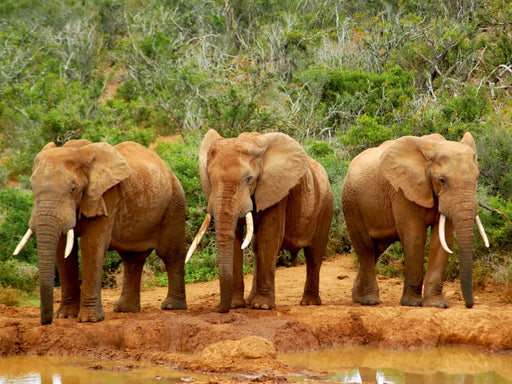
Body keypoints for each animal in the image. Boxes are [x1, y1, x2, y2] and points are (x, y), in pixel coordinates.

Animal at [13, 139, 187, 324]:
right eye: (32, 189)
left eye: (73, 189)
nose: (46, 322)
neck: (77, 151)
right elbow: (63, 251)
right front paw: (65, 316)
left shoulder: (106, 195)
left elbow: (91, 245)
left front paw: (89, 320)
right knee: (132, 258)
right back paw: (125, 310)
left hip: (175, 202)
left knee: (170, 253)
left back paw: (171, 306)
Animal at [186, 129, 334, 312]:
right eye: (210, 179)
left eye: (249, 179)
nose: (220, 309)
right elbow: (237, 240)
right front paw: (236, 305)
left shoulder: (276, 190)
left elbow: (269, 236)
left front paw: (262, 306)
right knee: (257, 249)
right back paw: (251, 301)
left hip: (325, 205)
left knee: (314, 253)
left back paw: (308, 303)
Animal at [342, 133, 490, 308]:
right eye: (442, 180)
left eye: (477, 178)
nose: (469, 305)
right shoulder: (402, 191)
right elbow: (415, 237)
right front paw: (412, 303)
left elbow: (442, 239)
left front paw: (436, 304)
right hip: (352, 203)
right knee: (365, 248)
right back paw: (370, 301)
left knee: (377, 249)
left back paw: (357, 298)